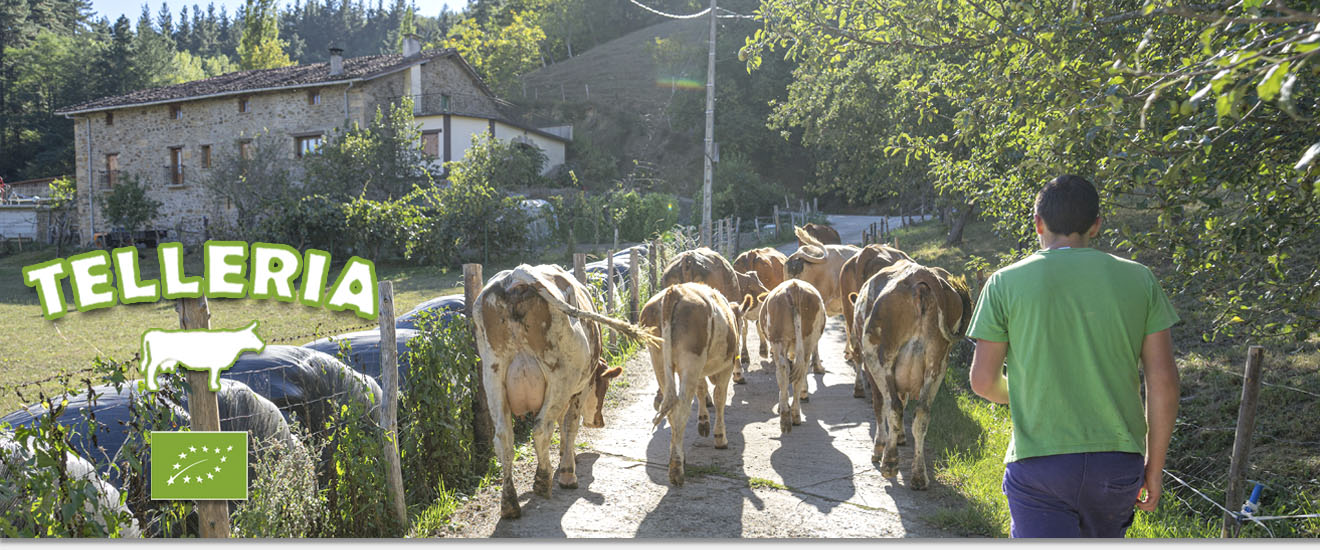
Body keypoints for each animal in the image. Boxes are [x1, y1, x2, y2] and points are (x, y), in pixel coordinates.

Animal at [475, 263, 660, 517]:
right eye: (603, 387)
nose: (599, 422)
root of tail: (516, 276)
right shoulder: (580, 389)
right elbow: (570, 425)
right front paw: (567, 472)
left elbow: (562, 425)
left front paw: (565, 456)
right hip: (560, 378)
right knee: (542, 428)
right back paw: (543, 480)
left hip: (493, 376)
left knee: (504, 438)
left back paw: (510, 503)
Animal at [641, 282, 755, 485]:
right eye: (741, 322)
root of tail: (674, 291)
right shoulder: (725, 368)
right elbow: (719, 398)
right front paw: (720, 437)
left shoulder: (700, 371)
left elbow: (702, 391)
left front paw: (703, 422)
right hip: (691, 361)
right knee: (681, 409)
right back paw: (676, 469)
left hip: (659, 360)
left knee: (672, 409)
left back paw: (678, 454)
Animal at [850, 259, 976, 488]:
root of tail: (921, 275)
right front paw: (900, 437)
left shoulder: (872, 370)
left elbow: (880, 406)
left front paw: (880, 446)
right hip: (937, 363)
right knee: (922, 414)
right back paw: (919, 475)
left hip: (880, 357)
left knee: (894, 407)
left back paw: (889, 463)